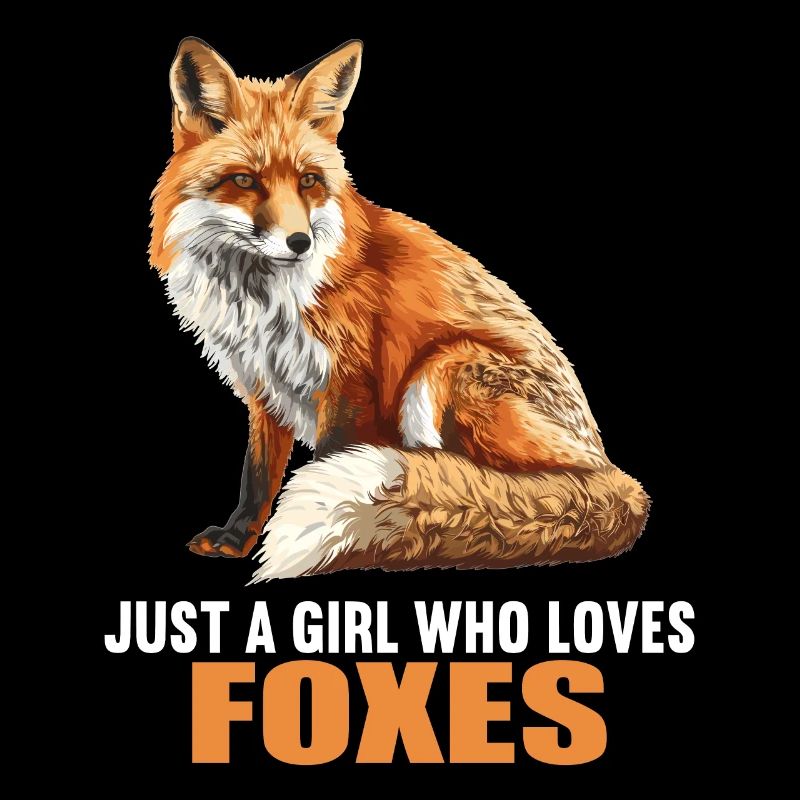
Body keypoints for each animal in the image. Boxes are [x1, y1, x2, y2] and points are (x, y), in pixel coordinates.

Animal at [149, 38, 649, 582]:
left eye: (308, 181)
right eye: (244, 180)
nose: (300, 243)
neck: (261, 298)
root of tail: (611, 469)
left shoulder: (348, 384)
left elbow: (327, 460)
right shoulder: (265, 385)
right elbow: (257, 477)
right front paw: (238, 539)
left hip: (442, 370)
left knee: (476, 481)